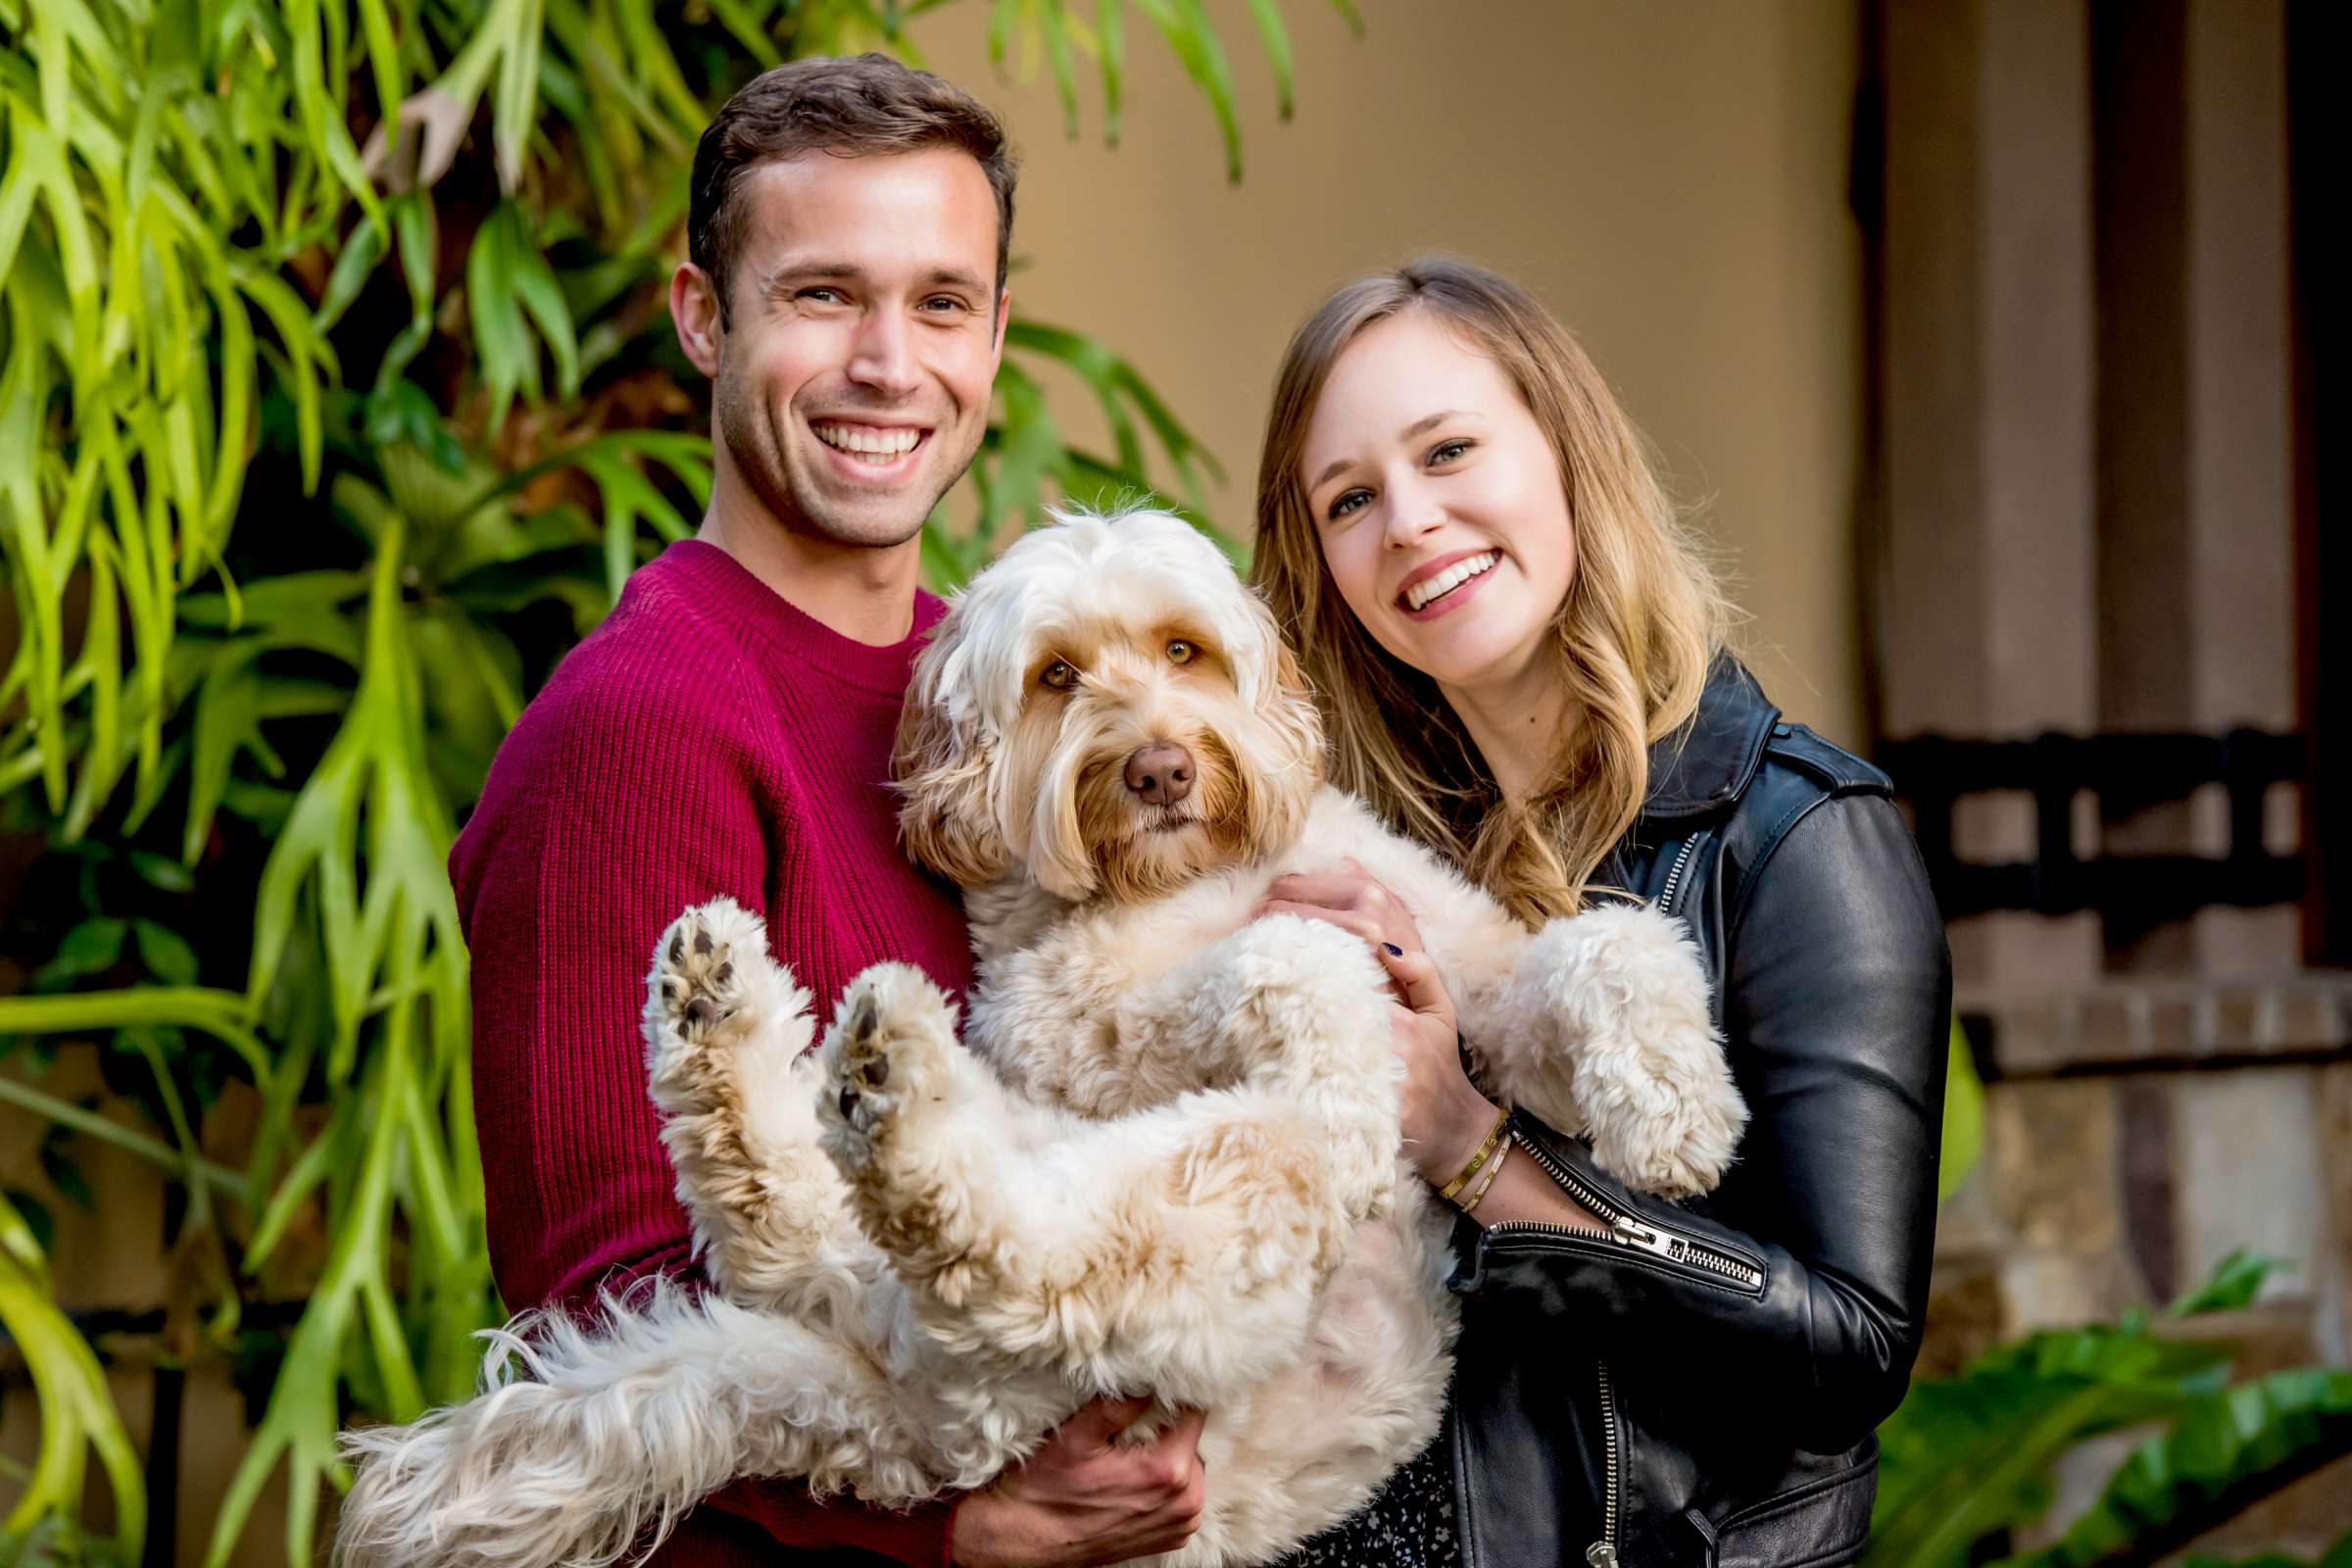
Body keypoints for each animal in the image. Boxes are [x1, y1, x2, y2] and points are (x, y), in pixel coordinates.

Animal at [343, 510, 1749, 1568]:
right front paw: (1346, 1061)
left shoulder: (1468, 971)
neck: (1194, 875)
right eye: (1056, 676)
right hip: (1187, 1247)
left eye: (1185, 649)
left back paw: (750, 1035)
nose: (1160, 768)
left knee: (821, 1232)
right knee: (1025, 1251)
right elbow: (1287, 962)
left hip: (1017, 1296)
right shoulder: (1080, 1022)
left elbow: (1596, 951)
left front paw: (1677, 1110)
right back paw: (854, 1076)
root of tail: (913, 1411)